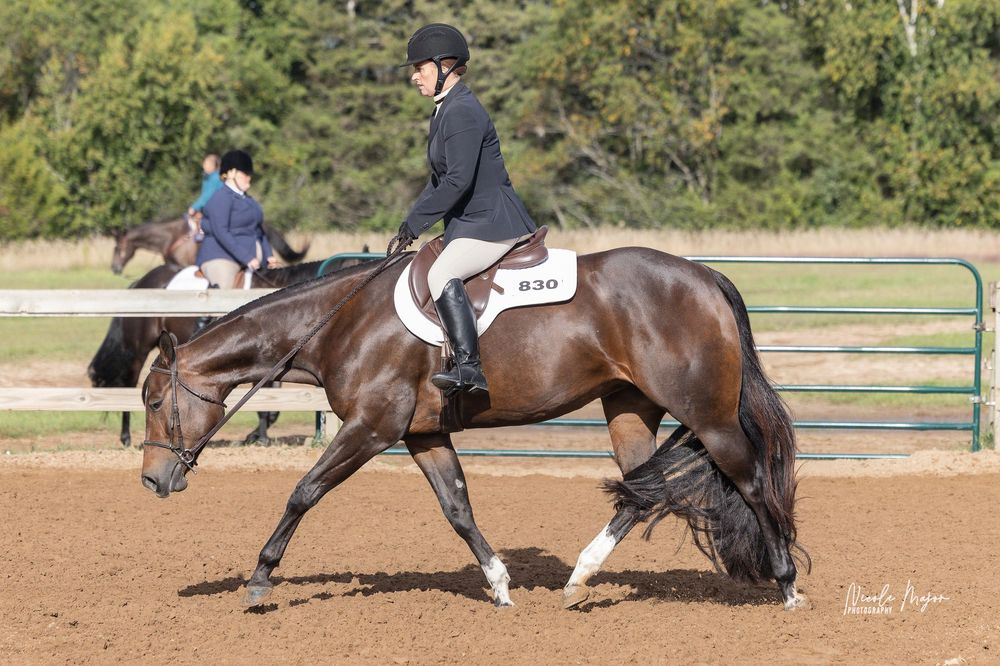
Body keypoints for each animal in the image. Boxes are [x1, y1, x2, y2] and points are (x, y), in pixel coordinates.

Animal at [89, 256, 368, 447]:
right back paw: (125, 437)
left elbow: (272, 406)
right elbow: (265, 404)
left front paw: (256, 434)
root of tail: (142, 281)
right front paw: (259, 436)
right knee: (128, 382)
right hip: (136, 349)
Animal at [139, 247, 809, 611]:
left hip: (709, 417)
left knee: (751, 482)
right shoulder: (421, 435)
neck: (337, 325)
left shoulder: (370, 428)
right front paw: (500, 585)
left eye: (152, 399)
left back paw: (786, 585)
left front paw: (259, 580)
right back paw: (577, 580)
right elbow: (457, 509)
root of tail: (703, 276)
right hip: (628, 406)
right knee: (641, 492)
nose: (150, 481)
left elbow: (303, 492)